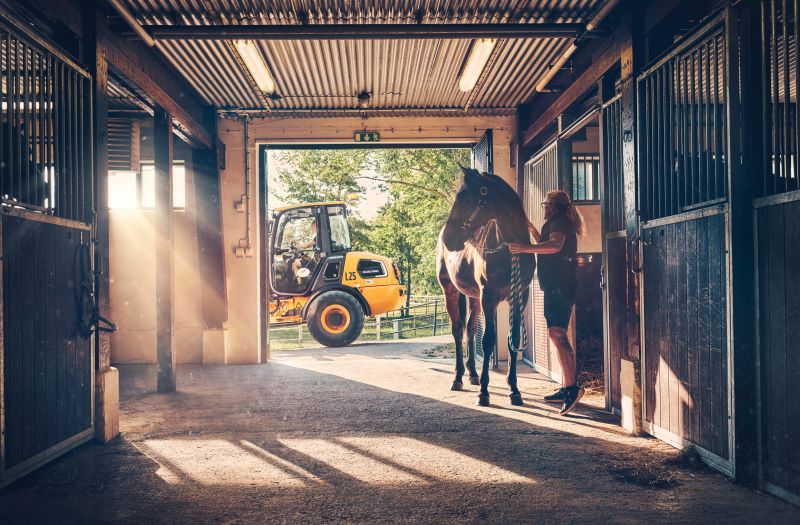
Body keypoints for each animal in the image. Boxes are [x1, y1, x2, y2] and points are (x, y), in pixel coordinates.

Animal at [434, 167, 536, 406]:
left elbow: (512, 339)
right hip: (450, 292)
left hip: (473, 298)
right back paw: (458, 377)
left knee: (470, 329)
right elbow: (488, 340)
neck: (510, 250)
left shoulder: (520, 295)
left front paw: (514, 390)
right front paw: (484, 392)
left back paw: (472, 374)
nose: (449, 239)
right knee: (457, 330)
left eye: (464, 197)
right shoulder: (489, 297)